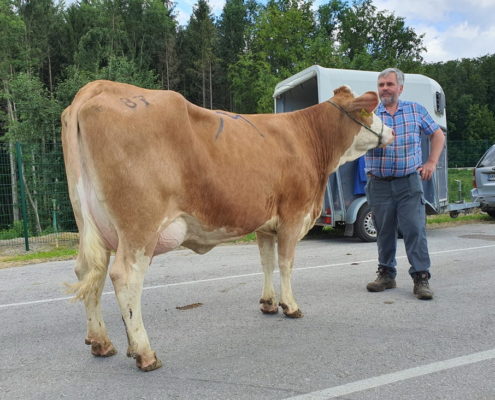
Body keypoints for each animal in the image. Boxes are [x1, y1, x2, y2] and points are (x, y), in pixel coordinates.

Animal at [61, 80, 396, 372]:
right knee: (124, 277)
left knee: (89, 271)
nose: (392, 131)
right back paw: (144, 353)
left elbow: (266, 262)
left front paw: (268, 303)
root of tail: (97, 87)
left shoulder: (265, 223)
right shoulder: (293, 213)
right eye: (370, 112)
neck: (307, 138)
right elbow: (286, 264)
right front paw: (290, 305)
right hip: (139, 226)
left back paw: (102, 342)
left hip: (90, 222)